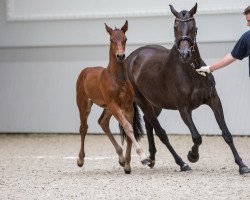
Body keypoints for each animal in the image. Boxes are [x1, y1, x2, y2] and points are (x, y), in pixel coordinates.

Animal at [127, 3, 250, 174]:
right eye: (175, 27)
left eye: (193, 27)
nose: (185, 54)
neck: (191, 70)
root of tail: (131, 58)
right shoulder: (184, 108)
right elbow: (197, 137)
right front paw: (192, 155)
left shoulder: (214, 101)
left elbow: (227, 134)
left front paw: (242, 165)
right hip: (143, 102)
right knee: (161, 133)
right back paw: (182, 163)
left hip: (156, 104)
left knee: (148, 122)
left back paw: (152, 158)